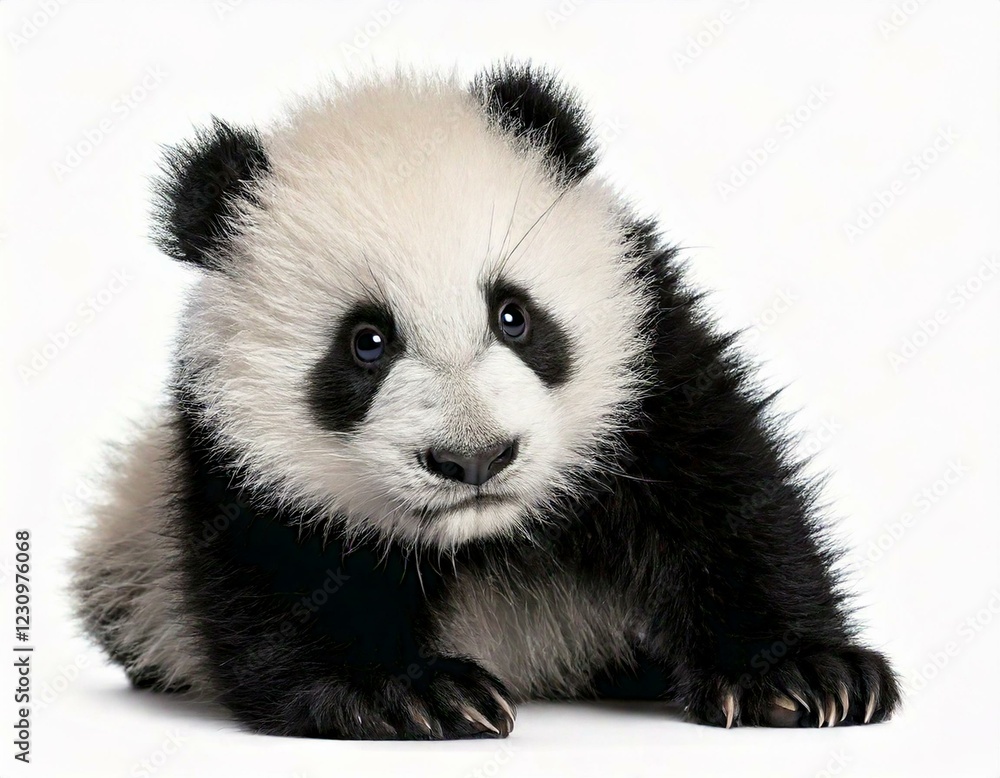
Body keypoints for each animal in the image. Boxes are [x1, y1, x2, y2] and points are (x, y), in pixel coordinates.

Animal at [72, 63, 900, 739]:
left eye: (514, 315)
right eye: (366, 342)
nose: (474, 459)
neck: (486, 537)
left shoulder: (648, 357)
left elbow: (724, 492)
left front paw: (798, 674)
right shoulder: (234, 462)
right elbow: (281, 581)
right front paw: (411, 695)